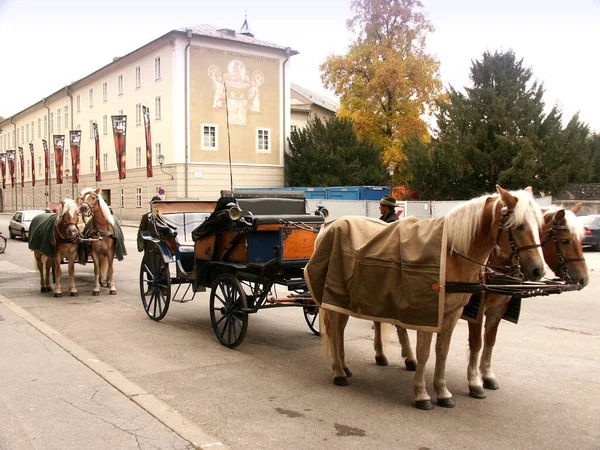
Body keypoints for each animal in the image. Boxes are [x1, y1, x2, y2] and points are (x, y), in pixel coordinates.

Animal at [308, 185, 548, 410]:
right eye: (518, 226)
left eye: (539, 226)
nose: (538, 270)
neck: (451, 255)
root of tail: (330, 225)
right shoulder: (426, 313)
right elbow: (424, 353)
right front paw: (422, 394)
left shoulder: (452, 315)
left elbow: (442, 352)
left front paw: (442, 392)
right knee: (334, 328)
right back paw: (338, 371)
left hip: (346, 300)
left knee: (339, 329)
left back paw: (344, 366)